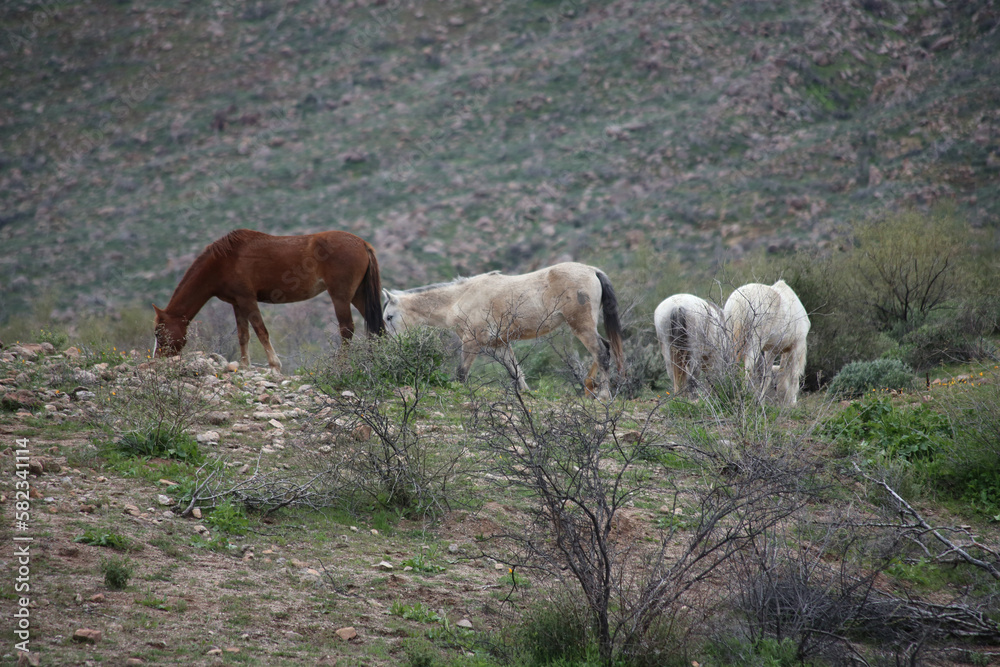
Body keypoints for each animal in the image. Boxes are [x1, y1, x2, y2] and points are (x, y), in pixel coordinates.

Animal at [153, 229, 385, 372]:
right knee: (377, 327)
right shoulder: (237, 303)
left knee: (347, 329)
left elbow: (261, 331)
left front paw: (275, 366)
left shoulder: (248, 300)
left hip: (341, 296)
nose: (157, 360)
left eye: (159, 333)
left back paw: (341, 366)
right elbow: (243, 335)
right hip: (358, 295)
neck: (223, 260)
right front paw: (245, 366)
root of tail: (362, 243)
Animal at [381, 262, 625, 399]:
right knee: (604, 349)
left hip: (581, 326)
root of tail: (593, 271)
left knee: (601, 352)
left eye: (389, 317)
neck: (460, 298)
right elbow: (516, 372)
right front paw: (526, 395)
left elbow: (461, 373)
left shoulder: (472, 342)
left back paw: (603, 394)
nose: (395, 347)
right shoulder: (500, 345)